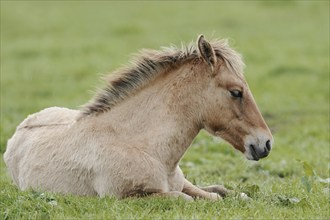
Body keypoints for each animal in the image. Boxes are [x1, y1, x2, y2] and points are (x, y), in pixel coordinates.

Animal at [3, 34, 274, 201]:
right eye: (236, 92)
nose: (266, 143)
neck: (144, 147)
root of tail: (20, 128)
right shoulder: (130, 197)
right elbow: (190, 199)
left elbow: (222, 194)